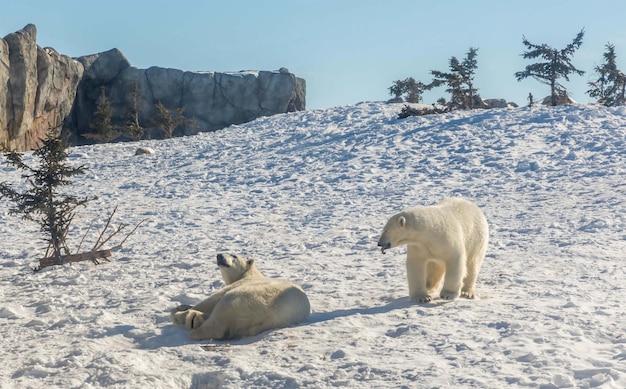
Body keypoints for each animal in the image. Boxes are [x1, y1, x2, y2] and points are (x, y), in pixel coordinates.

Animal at [171, 252, 310, 340]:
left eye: (234, 255)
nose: (219, 256)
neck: (250, 273)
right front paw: (183, 305)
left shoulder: (242, 283)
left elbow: (212, 299)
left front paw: (179, 311)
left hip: (247, 298)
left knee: (219, 316)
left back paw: (190, 322)